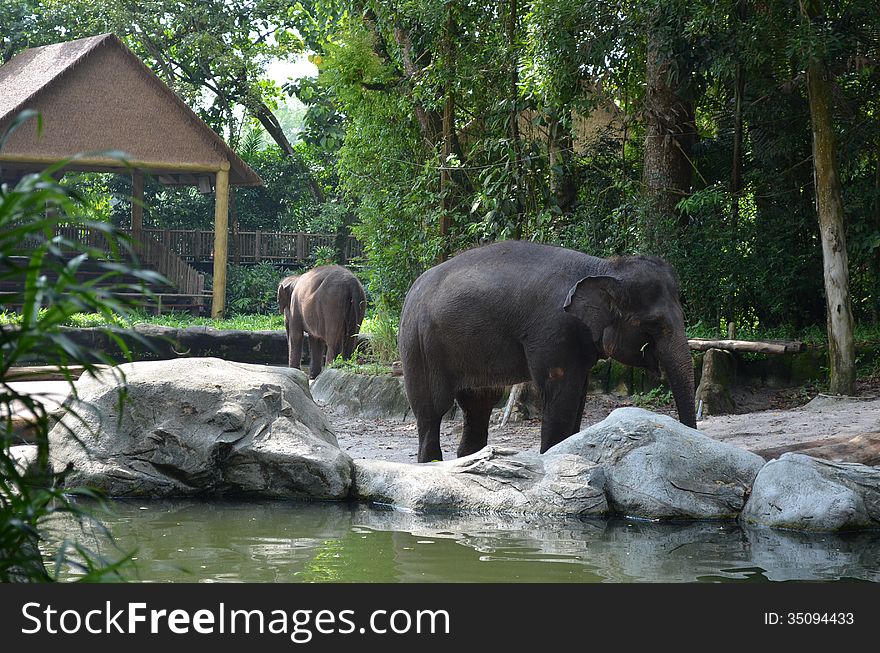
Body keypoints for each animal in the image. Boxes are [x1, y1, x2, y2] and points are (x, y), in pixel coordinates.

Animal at [398, 241, 696, 464]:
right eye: (653, 324)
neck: (604, 267)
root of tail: (412, 290)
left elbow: (578, 397)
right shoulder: (555, 331)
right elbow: (561, 395)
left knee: (478, 406)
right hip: (418, 345)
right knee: (432, 411)